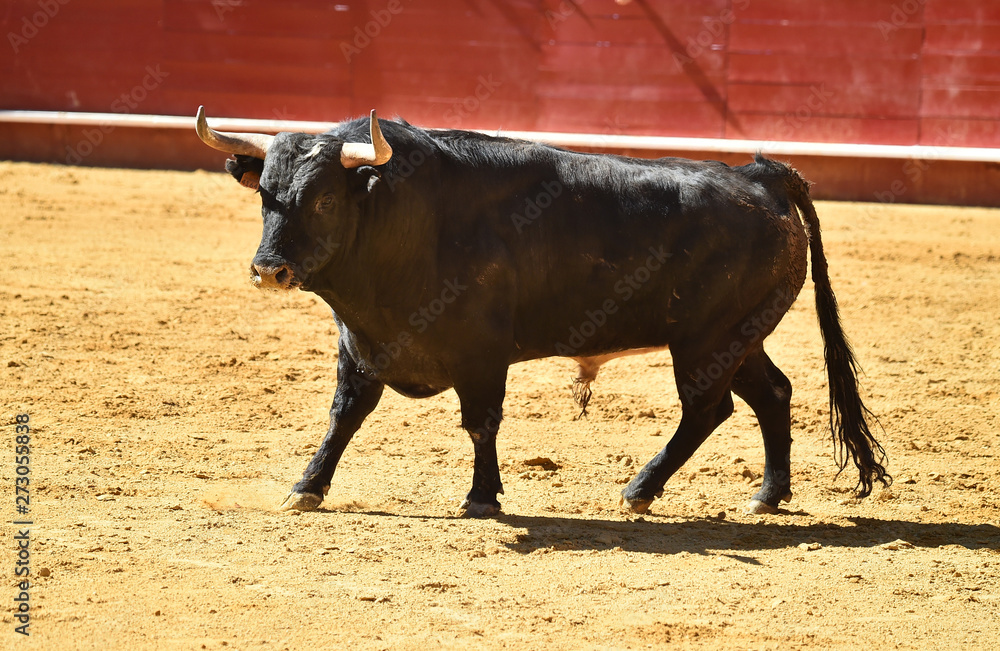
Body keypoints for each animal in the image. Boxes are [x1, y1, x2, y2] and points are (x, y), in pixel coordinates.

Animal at [195, 105, 892, 516]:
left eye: (323, 201)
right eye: (265, 193)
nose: (269, 270)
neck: (401, 214)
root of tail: (760, 176)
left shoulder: (481, 352)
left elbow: (481, 423)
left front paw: (482, 498)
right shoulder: (361, 342)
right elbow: (344, 417)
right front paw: (307, 486)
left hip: (708, 340)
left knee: (707, 409)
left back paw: (640, 490)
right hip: (739, 337)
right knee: (772, 393)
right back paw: (768, 496)